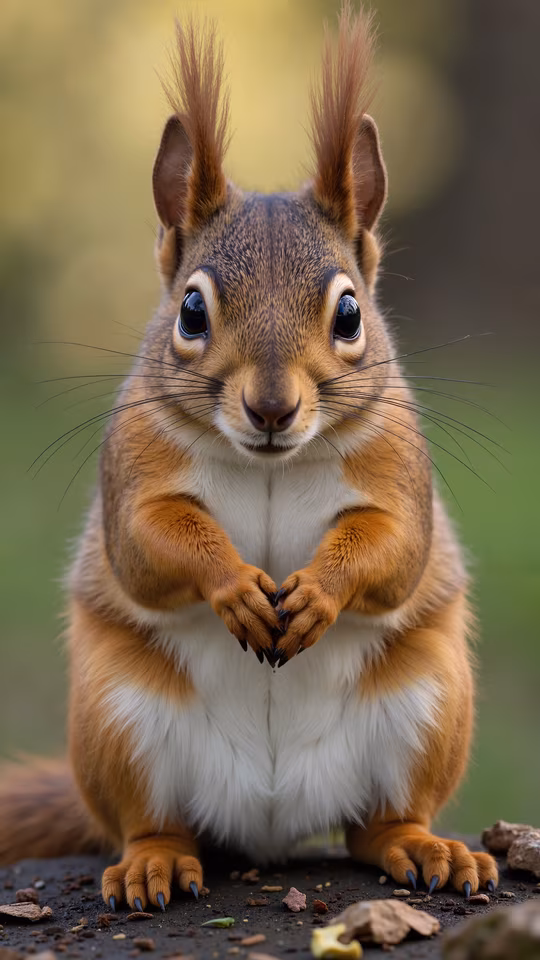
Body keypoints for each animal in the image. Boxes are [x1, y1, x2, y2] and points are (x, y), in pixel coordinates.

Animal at [0, 5, 498, 909]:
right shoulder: (135, 470)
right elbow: (149, 542)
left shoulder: (397, 473)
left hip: (431, 704)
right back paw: (156, 862)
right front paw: (234, 587)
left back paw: (426, 847)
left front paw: (318, 593)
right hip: (115, 720)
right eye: (191, 311)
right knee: (150, 820)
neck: (270, 462)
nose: (271, 409)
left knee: (377, 823)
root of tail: (271, 820)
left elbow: (396, 548)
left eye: (350, 314)